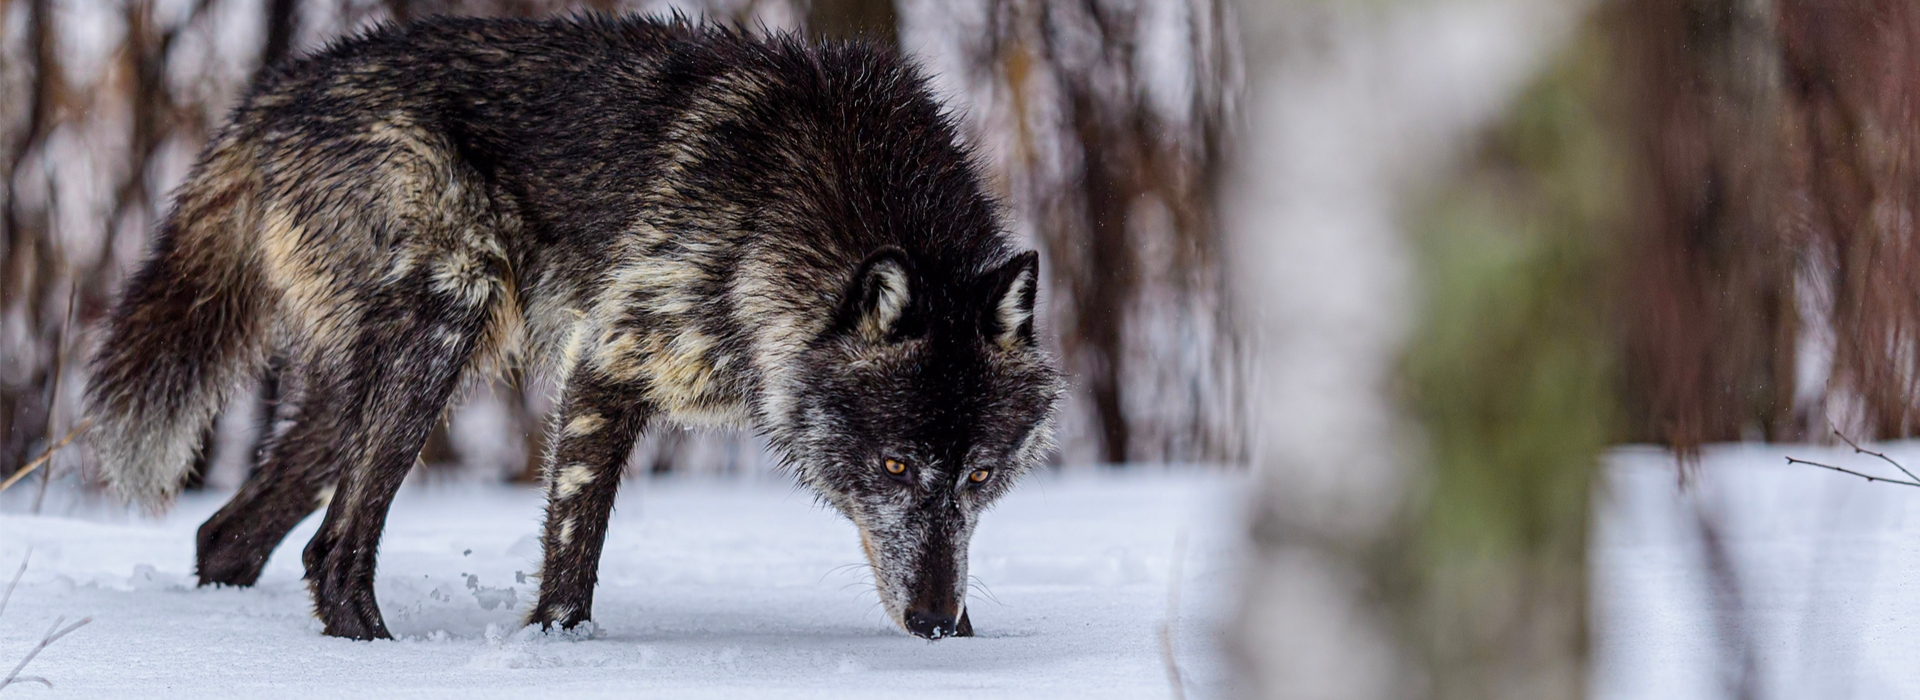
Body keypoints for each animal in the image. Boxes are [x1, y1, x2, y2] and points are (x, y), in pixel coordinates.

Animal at [83, 14, 1063, 642]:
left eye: (981, 474)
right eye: (894, 466)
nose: (931, 624)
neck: (796, 211)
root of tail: (273, 96)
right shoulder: (608, 363)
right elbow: (571, 552)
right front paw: (561, 653)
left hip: (374, 384)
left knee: (226, 536)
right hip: (448, 319)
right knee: (332, 545)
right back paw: (375, 653)